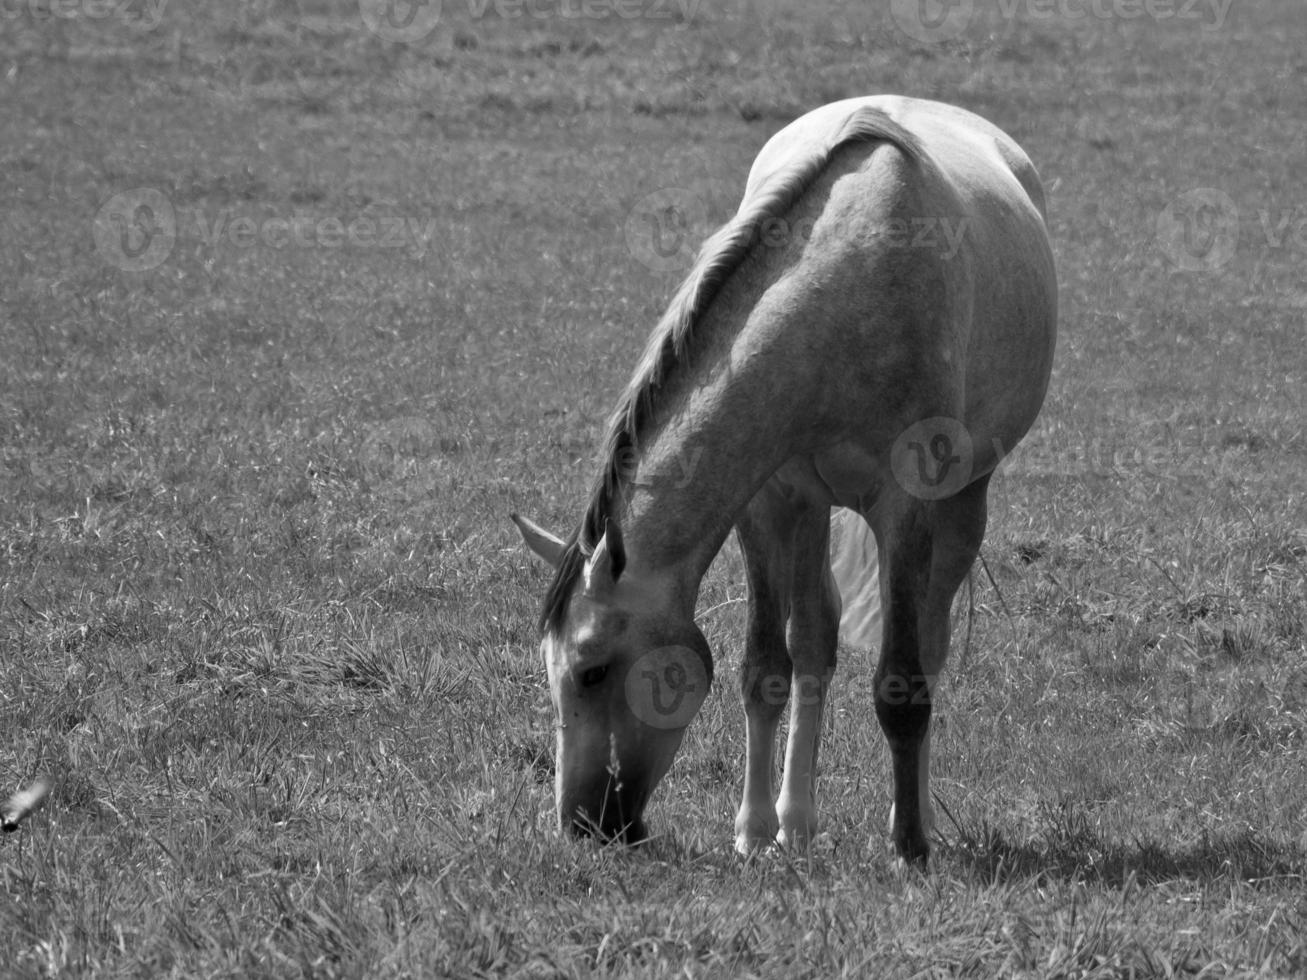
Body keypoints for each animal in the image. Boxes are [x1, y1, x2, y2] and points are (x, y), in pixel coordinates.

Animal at [507, 94, 1050, 867]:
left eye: (592, 670)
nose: (581, 824)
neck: (842, 293)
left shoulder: (906, 508)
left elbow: (901, 684)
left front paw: (908, 844)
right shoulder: (768, 502)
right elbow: (766, 668)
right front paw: (755, 830)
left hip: (961, 507)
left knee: (929, 645)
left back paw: (909, 815)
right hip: (812, 512)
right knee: (815, 644)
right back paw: (796, 822)